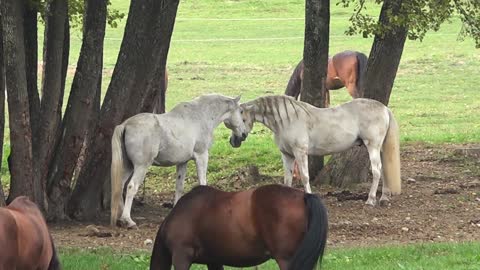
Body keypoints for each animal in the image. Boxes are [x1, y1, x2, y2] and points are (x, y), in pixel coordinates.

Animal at [111, 94, 248, 228]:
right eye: (241, 111)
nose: (244, 134)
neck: (200, 116)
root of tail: (126, 124)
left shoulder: (182, 162)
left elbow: (179, 187)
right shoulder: (202, 155)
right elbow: (202, 182)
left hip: (129, 166)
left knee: (120, 186)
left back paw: (119, 217)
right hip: (141, 166)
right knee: (131, 187)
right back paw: (128, 220)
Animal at [229, 96, 402, 206]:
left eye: (242, 119)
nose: (234, 141)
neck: (287, 120)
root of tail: (384, 108)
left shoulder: (300, 153)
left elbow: (305, 177)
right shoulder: (287, 155)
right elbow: (287, 179)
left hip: (372, 146)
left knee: (377, 171)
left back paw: (371, 200)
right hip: (379, 148)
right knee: (384, 170)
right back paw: (384, 198)